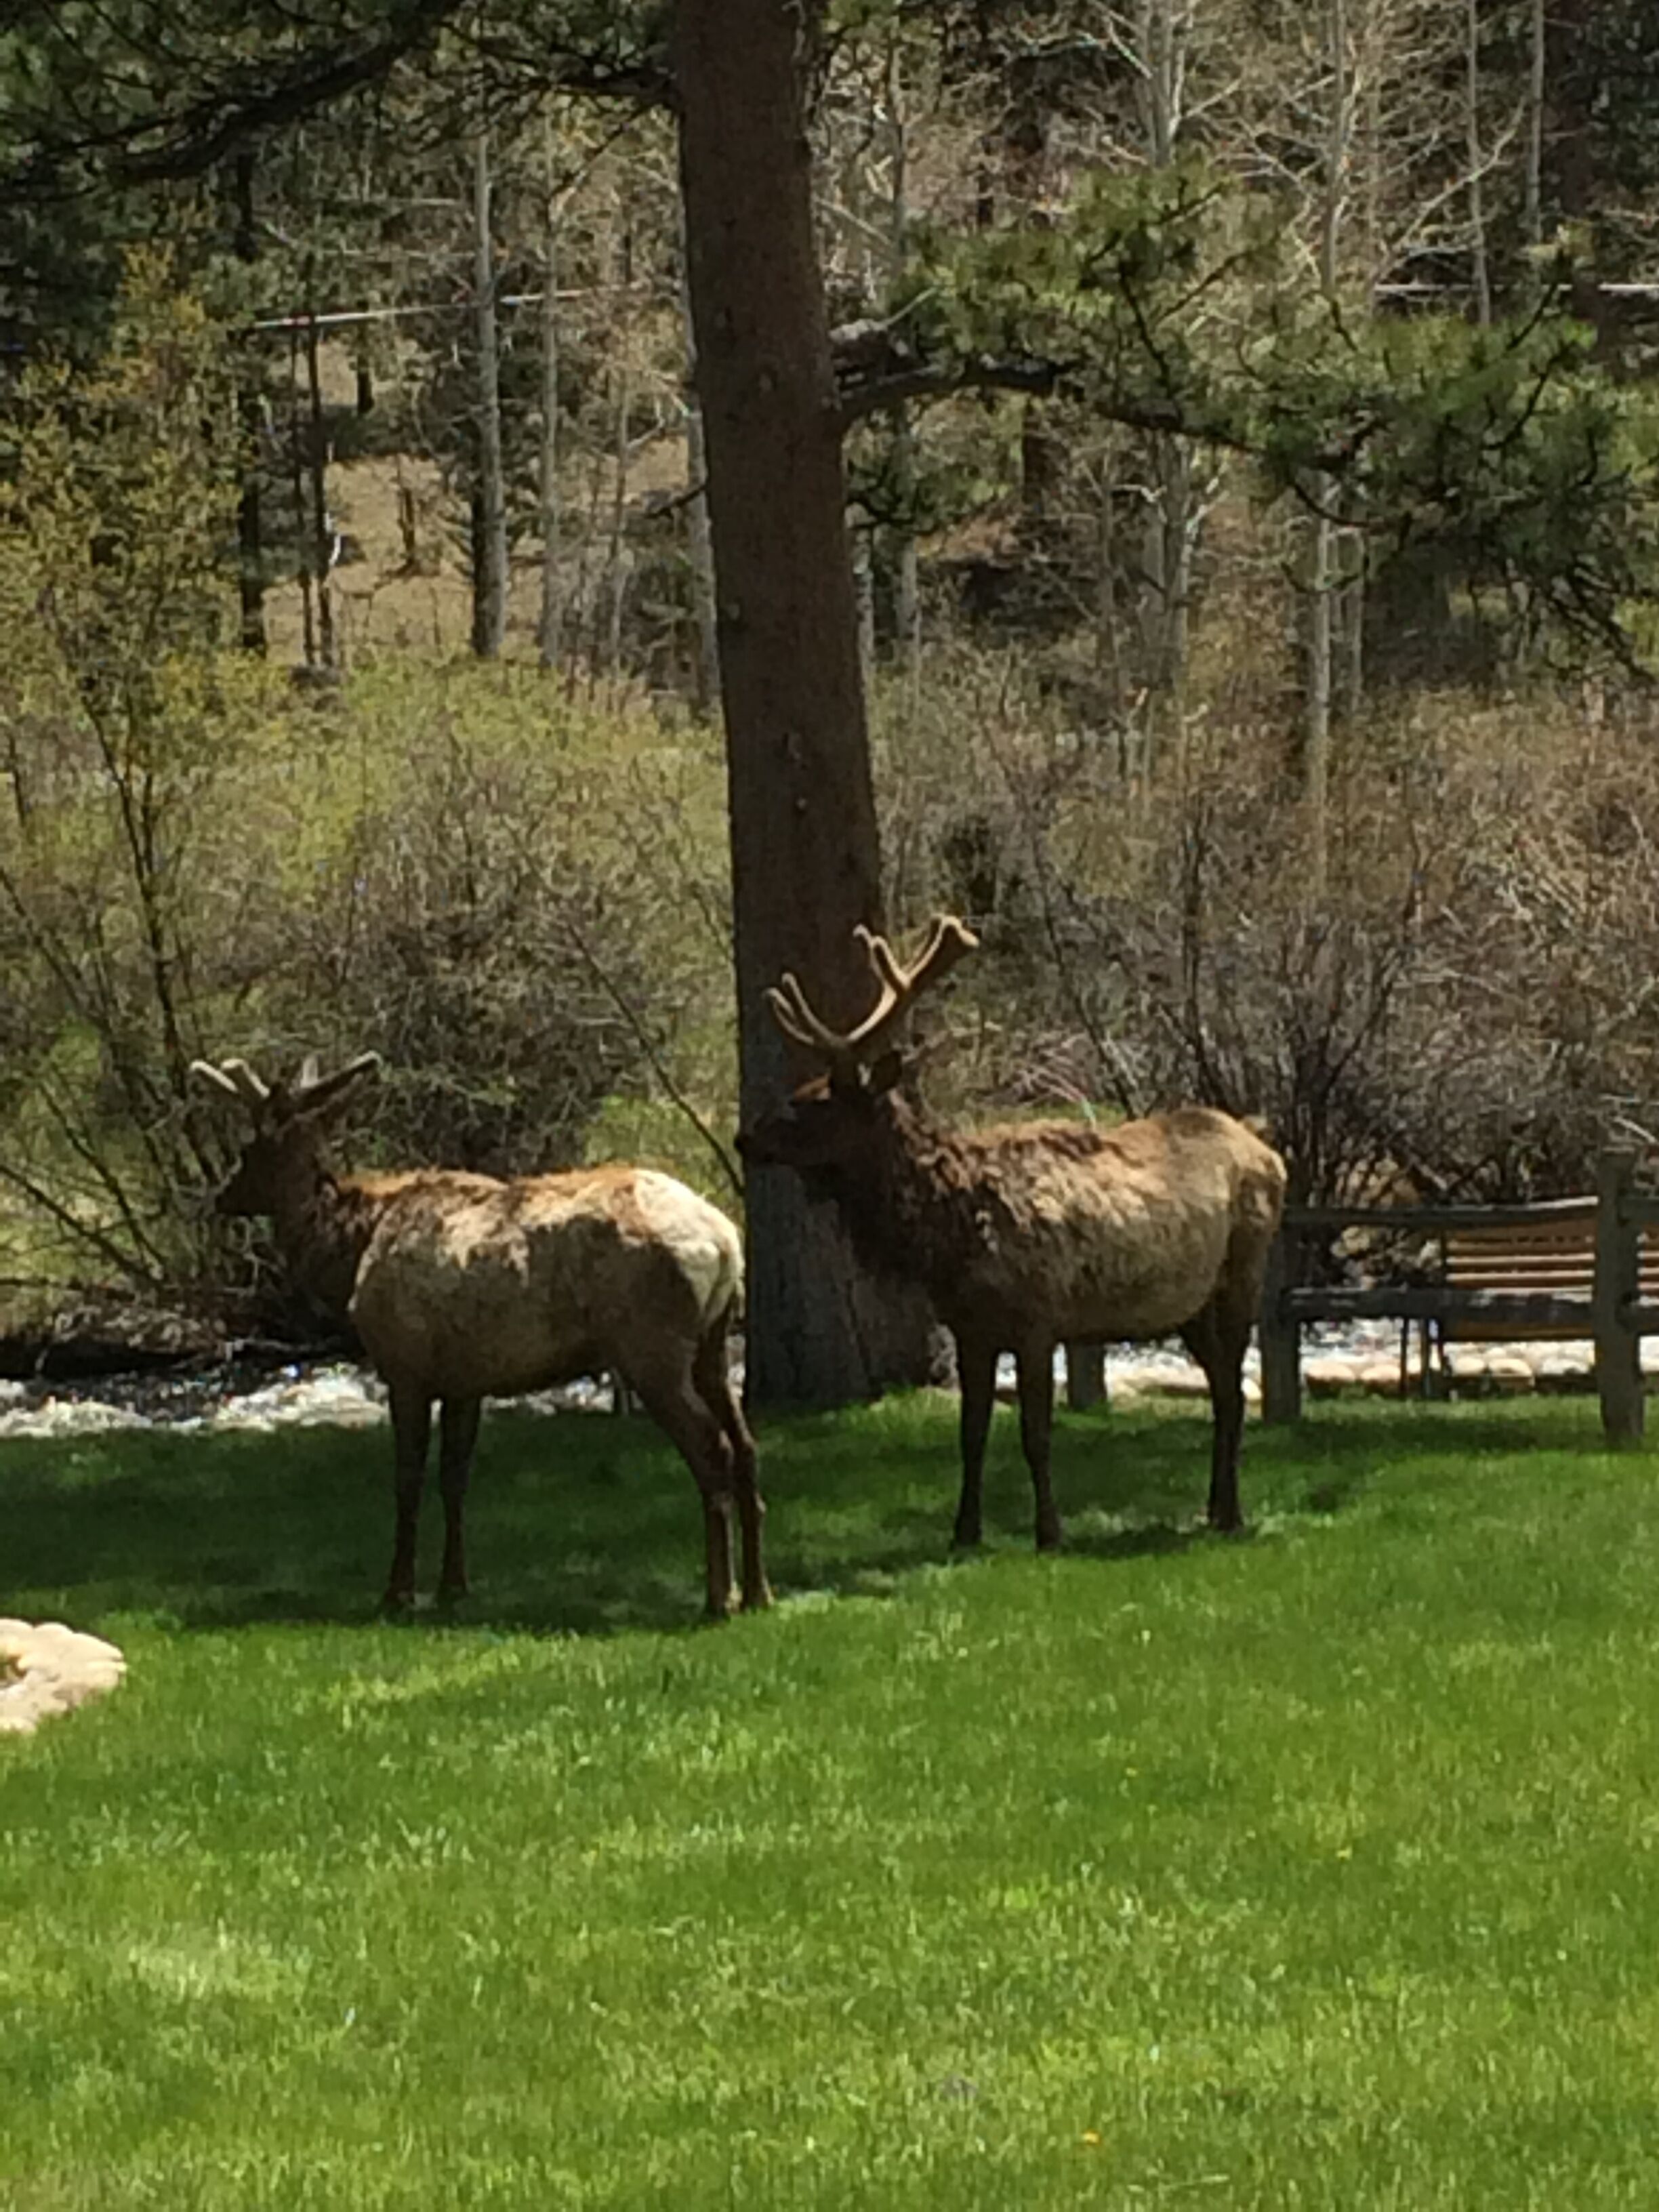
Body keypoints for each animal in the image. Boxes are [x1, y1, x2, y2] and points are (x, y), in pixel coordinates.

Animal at [191, 1053, 769, 1621]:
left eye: (250, 1149)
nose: (222, 1197)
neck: (352, 1252)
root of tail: (724, 1242)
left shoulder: (405, 1367)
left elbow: (408, 1479)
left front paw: (398, 1593)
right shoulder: (465, 1380)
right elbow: (455, 1478)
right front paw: (454, 1587)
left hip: (651, 1347)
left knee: (713, 1447)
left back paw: (720, 1597)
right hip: (712, 1345)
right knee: (745, 1445)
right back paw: (759, 1592)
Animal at [737, 917, 1287, 1550]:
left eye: (814, 1103)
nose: (745, 1138)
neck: (948, 1238)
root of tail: (1268, 1150)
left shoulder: (1037, 1317)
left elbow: (1035, 1432)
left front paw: (1049, 1532)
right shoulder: (971, 1330)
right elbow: (971, 1434)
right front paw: (964, 1532)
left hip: (1243, 1270)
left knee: (1236, 1391)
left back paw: (1233, 1514)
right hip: (1188, 1306)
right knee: (1223, 1389)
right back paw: (1213, 1509)